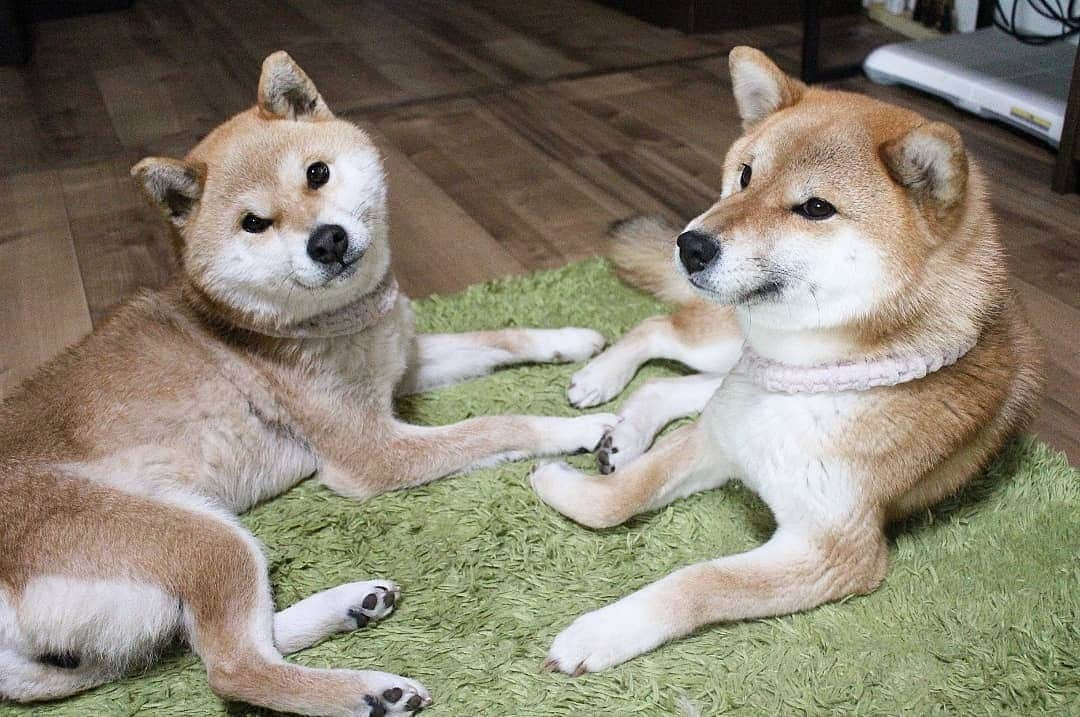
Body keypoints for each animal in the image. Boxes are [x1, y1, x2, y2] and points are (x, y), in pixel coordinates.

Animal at [0, 51, 613, 717]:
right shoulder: (374, 453)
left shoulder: (401, 362)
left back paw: (349, 607)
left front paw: (575, 342)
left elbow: (499, 337)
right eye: (253, 223)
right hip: (200, 537)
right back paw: (366, 690)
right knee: (234, 668)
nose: (327, 239)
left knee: (220, 642)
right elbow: (497, 425)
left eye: (318, 173)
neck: (335, 320)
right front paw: (584, 428)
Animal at [529, 47, 1036, 673]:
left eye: (816, 208)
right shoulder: (715, 439)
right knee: (659, 331)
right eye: (746, 174)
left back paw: (624, 433)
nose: (689, 244)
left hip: (726, 373)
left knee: (669, 385)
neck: (810, 376)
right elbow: (620, 502)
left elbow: (700, 584)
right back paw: (602, 379)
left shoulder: (831, 552)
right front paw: (563, 482)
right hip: (721, 348)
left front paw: (599, 634)